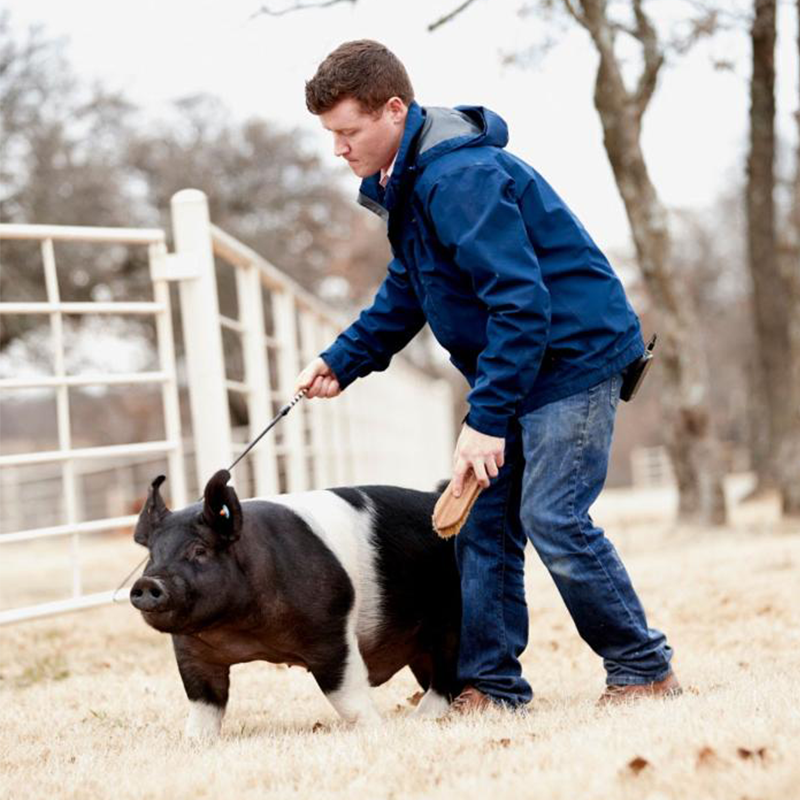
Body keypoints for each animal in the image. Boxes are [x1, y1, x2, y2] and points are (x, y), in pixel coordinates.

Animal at [129, 468, 460, 736]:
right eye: (152, 556)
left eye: (199, 551)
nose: (148, 583)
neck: (243, 631)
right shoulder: (192, 653)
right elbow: (205, 704)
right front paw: (195, 741)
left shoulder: (332, 632)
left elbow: (346, 694)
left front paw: (375, 730)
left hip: (452, 622)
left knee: (447, 675)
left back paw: (422, 718)